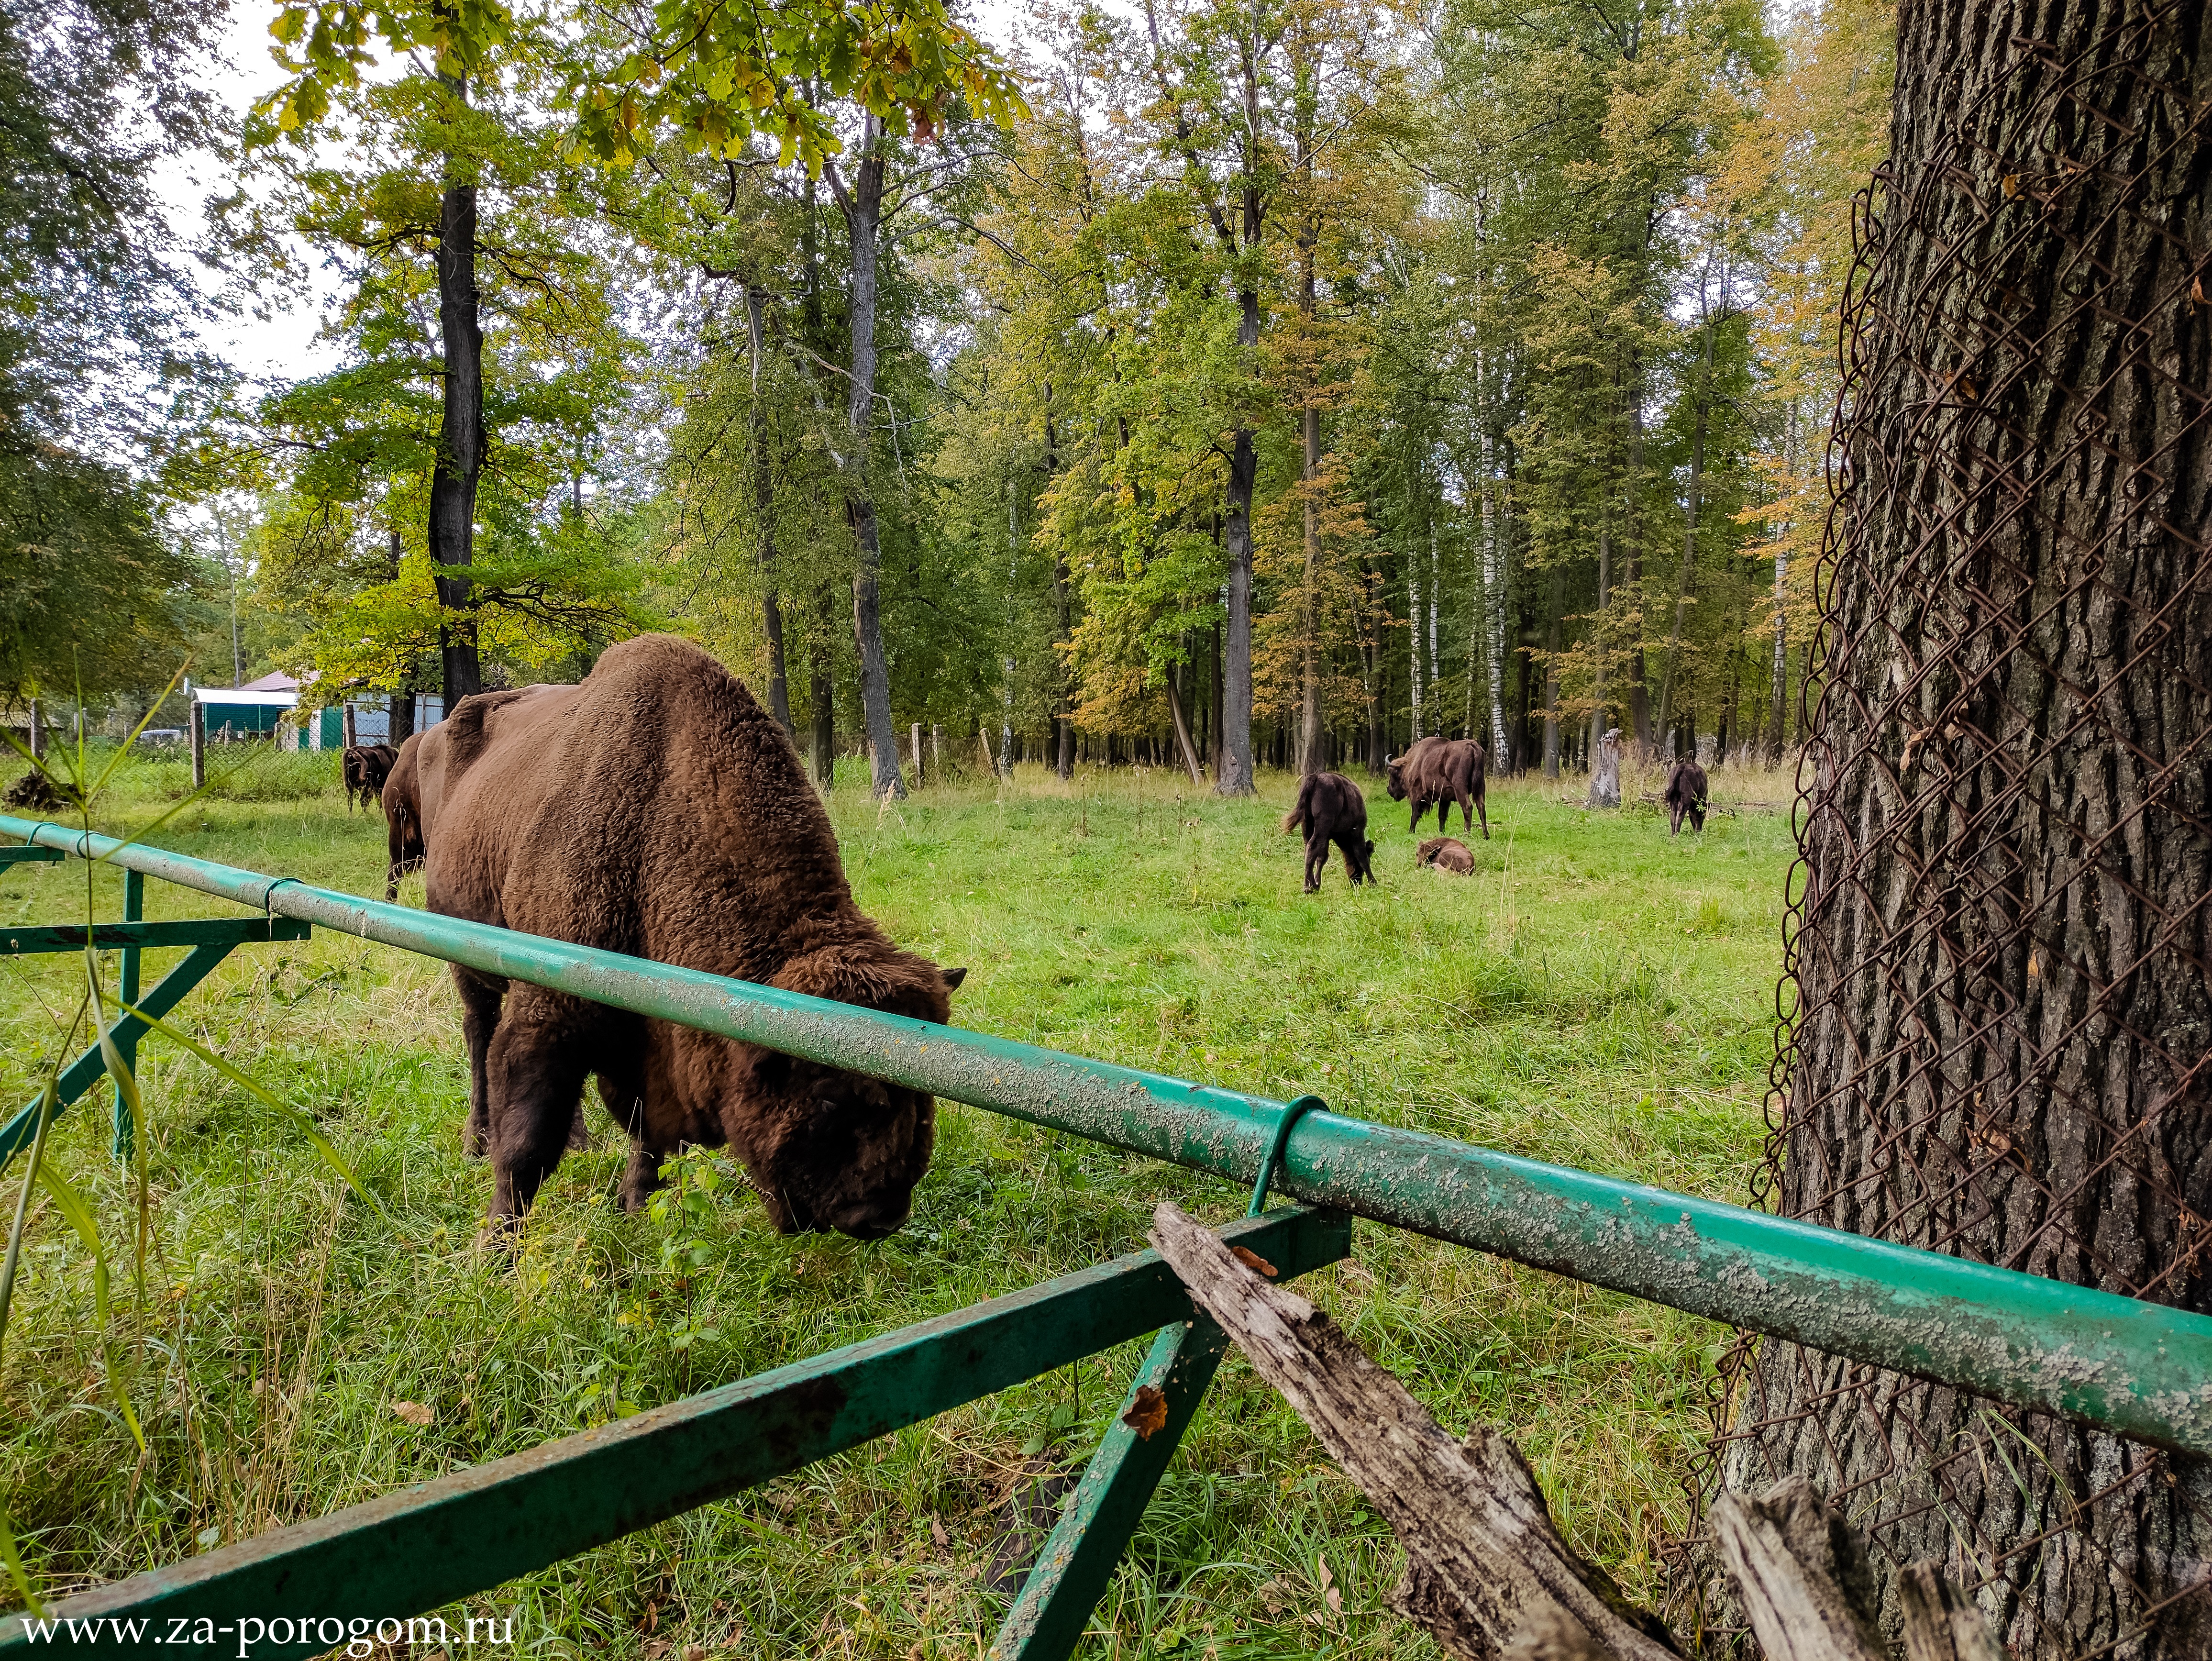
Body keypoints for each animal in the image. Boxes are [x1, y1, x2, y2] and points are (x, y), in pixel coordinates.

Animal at [416, 641, 969, 1238]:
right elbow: (525, 1148)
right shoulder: (546, 1013)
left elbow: (645, 1134)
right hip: (468, 960)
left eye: (922, 1092)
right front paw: (497, 1244)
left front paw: (636, 1202)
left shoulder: (651, 1046)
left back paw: (581, 1142)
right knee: (478, 1035)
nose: (880, 1215)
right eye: (825, 1093)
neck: (655, 822)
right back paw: (477, 1141)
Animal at [1283, 769, 1362, 898]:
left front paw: (1318, 884)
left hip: (1308, 824)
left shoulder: (1327, 837)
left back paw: (1310, 886)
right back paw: (1308, 888)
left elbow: (1322, 857)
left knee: (1308, 849)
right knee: (1312, 847)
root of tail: (1316, 777)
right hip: (1321, 825)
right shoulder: (1357, 832)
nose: (1357, 882)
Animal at [1380, 739, 1486, 845]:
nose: (1390, 790)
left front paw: (1411, 832)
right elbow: (1442, 816)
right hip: (1481, 787)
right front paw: (1442, 833)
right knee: (1481, 808)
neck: (1412, 762)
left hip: (1460, 789)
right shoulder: (1444, 799)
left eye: (1393, 773)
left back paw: (1466, 834)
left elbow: (1415, 815)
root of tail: (1473, 746)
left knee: (1468, 807)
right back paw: (1486, 835)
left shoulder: (1416, 794)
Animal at [1663, 761, 1707, 836]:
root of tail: (1683, 767)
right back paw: (1677, 834)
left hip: (1674, 802)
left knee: (1673, 815)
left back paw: (1673, 834)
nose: (1700, 829)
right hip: (1684, 801)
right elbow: (1696, 817)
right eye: (1703, 816)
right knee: (1680, 816)